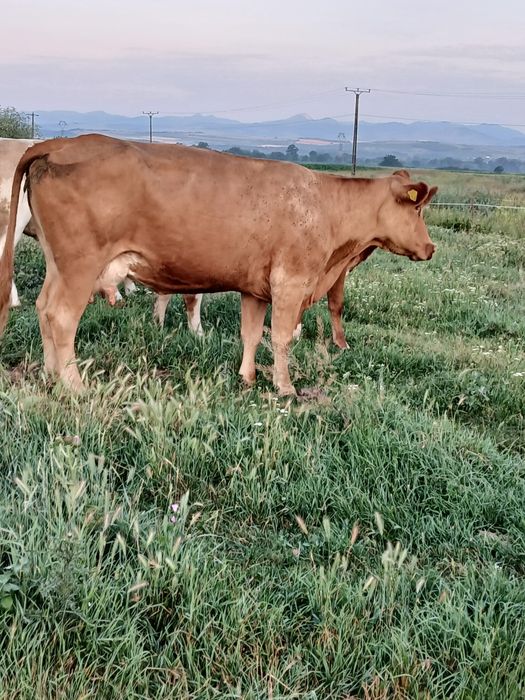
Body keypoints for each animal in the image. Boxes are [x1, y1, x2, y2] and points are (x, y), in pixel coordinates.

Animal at [0, 134, 437, 396]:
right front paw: (285, 388)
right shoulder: (290, 283)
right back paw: (73, 383)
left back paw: (50, 374)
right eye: (417, 209)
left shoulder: (255, 289)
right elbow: (280, 337)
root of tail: (61, 142)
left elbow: (252, 335)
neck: (326, 205)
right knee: (61, 317)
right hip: (80, 265)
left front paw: (247, 377)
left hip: (58, 264)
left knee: (43, 309)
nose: (431, 247)